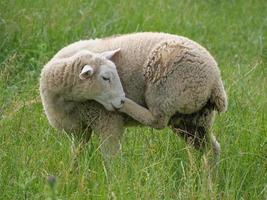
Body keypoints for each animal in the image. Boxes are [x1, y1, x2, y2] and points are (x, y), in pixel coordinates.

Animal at [40, 32, 228, 161]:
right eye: (105, 77)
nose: (120, 98)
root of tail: (215, 80)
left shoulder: (106, 121)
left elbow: (110, 156)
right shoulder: (78, 131)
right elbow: (77, 154)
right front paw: (73, 175)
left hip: (165, 89)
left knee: (158, 120)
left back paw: (127, 105)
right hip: (193, 118)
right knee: (211, 149)